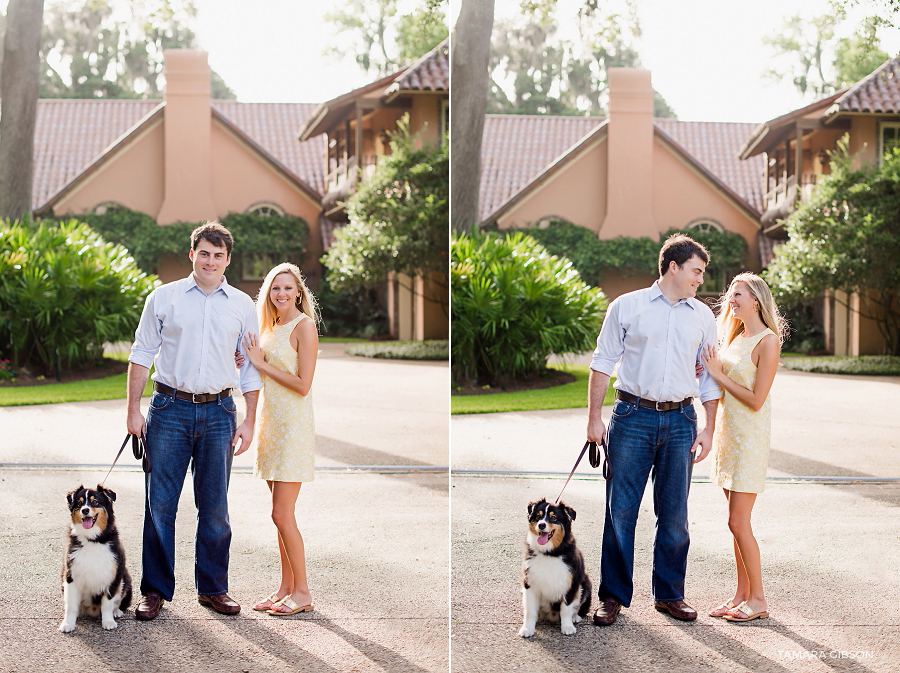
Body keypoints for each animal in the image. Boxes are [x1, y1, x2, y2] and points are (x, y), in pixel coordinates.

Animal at [59, 484, 133, 632]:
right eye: (79, 503)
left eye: (95, 502)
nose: (85, 510)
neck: (93, 539)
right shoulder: (70, 576)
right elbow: (71, 605)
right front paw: (68, 624)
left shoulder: (113, 576)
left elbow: (107, 603)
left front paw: (108, 621)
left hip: (125, 578)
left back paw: (116, 612)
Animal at [516, 498, 596, 636]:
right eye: (538, 516)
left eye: (553, 518)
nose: (541, 525)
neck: (550, 553)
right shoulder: (529, 583)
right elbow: (530, 611)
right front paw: (527, 629)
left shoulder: (571, 584)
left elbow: (566, 609)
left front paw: (567, 627)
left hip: (585, 584)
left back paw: (575, 617)